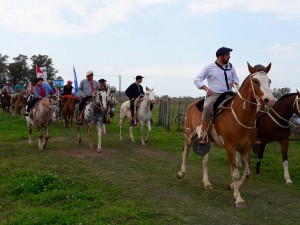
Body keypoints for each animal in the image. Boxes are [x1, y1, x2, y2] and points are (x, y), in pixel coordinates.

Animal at [176, 62, 276, 207]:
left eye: (269, 81)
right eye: (256, 81)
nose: (271, 101)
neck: (240, 115)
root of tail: (191, 105)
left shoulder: (246, 148)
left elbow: (247, 173)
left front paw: (233, 186)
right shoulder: (230, 148)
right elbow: (235, 173)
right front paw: (238, 198)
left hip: (208, 143)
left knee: (205, 161)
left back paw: (207, 183)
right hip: (189, 135)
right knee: (185, 152)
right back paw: (181, 173)